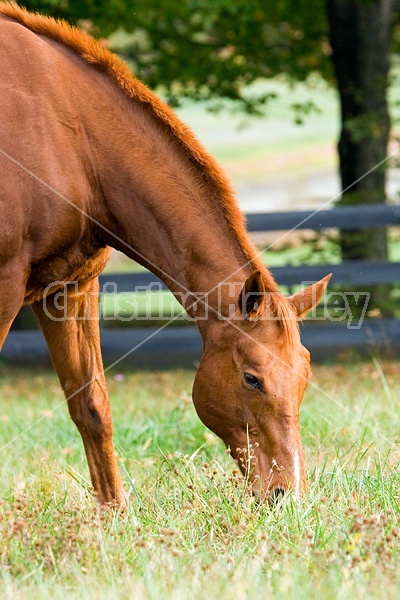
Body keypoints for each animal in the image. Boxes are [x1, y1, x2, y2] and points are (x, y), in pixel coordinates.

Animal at [0, 2, 330, 506]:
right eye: (252, 378)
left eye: (305, 374)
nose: (286, 494)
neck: (70, 137)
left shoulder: (70, 287)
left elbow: (92, 408)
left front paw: (113, 515)